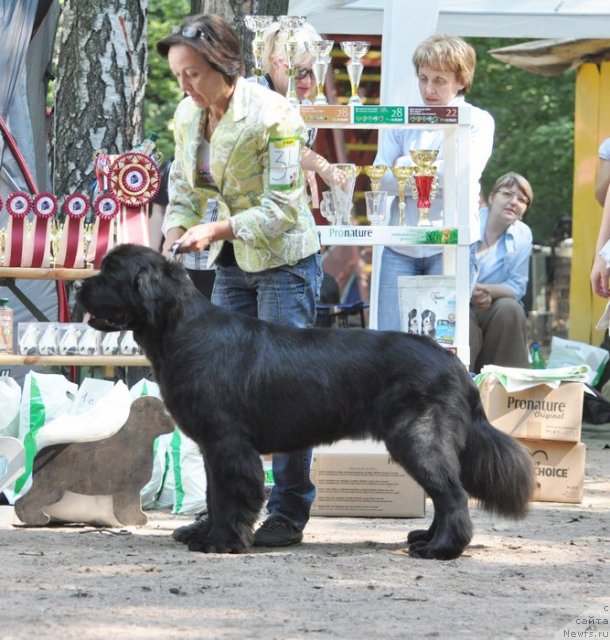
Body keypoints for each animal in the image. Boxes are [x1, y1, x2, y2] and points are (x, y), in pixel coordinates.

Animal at [77, 245, 532, 560]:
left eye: (112, 272)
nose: (79, 286)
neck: (181, 333)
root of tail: (453, 363)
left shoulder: (228, 443)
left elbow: (229, 497)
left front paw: (221, 542)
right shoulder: (213, 447)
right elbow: (213, 495)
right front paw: (204, 533)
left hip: (416, 437)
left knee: (451, 494)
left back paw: (440, 549)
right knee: (443, 493)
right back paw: (426, 537)